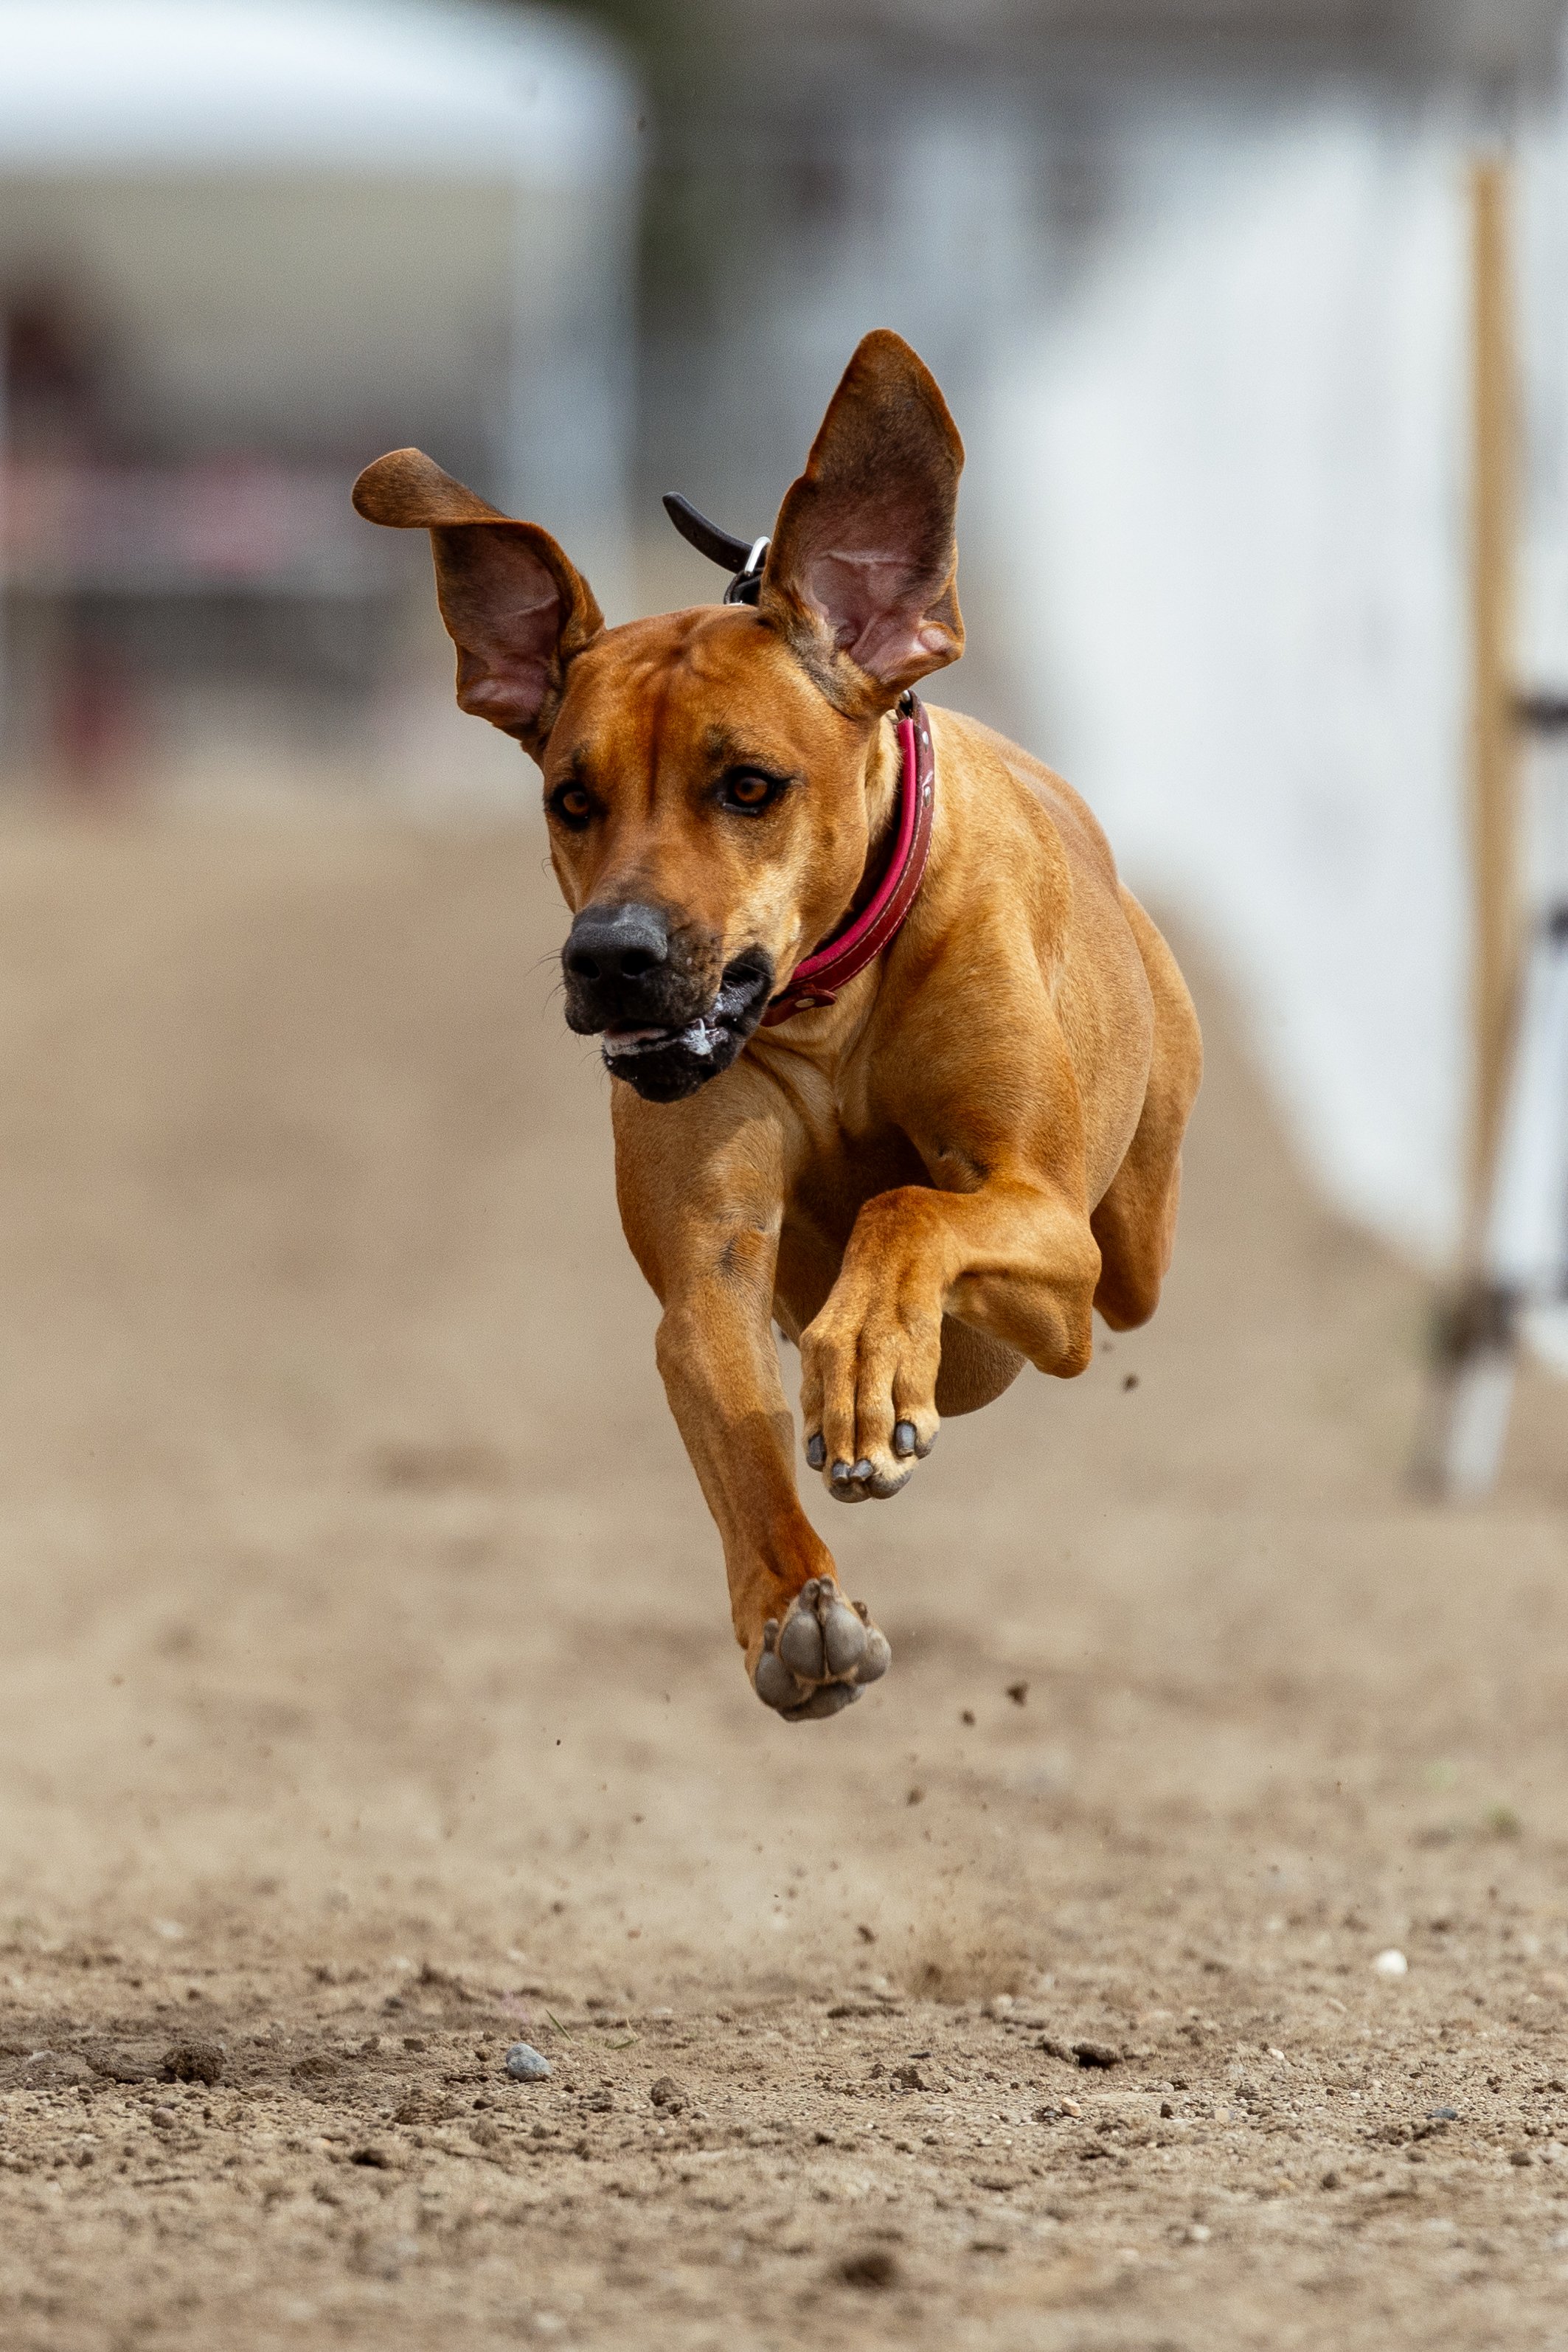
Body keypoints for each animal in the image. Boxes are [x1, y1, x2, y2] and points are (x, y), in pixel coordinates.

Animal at [353, 331, 1203, 1721]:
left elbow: (906, 1207)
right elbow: (733, 1411)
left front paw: (865, 1369)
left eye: (749, 785)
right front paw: (797, 1607)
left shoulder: (1051, 1239)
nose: (612, 957)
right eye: (570, 798)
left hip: (1127, 1247)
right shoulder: (706, 1264)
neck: (828, 1001)